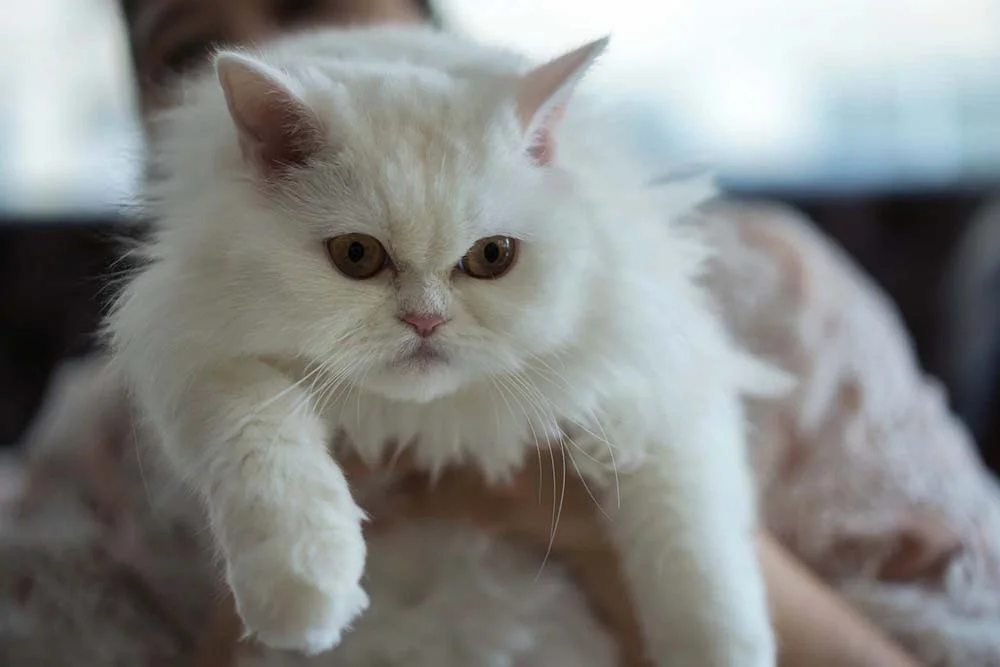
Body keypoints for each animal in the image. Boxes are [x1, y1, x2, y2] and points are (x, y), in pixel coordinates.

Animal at [107, 23, 780, 664]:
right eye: (357, 255)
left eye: (492, 257)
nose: (425, 320)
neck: (426, 425)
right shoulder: (189, 344)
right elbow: (265, 449)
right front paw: (305, 593)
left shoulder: (662, 373)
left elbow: (694, 548)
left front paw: (723, 650)